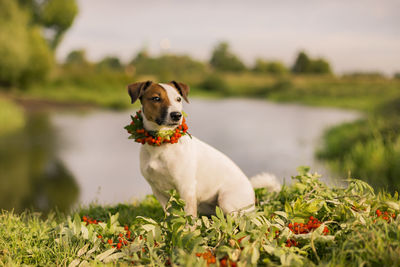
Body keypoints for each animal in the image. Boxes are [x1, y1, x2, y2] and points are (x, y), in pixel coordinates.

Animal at [128, 80, 282, 217]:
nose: (177, 115)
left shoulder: (186, 188)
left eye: (178, 99)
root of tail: (254, 198)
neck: (162, 143)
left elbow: (189, 219)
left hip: (226, 201)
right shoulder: (159, 192)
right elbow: (171, 216)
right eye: (156, 98)